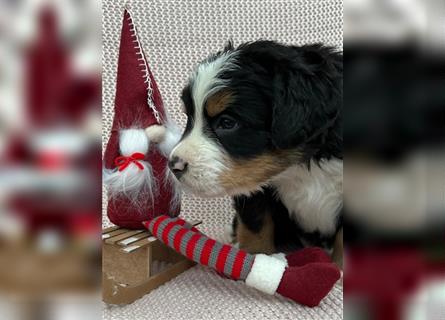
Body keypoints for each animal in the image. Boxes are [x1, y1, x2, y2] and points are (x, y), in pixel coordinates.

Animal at [168, 40, 342, 264]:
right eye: (189, 118)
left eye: (227, 123)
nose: (174, 165)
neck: (302, 165)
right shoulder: (253, 184)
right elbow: (255, 224)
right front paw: (256, 258)